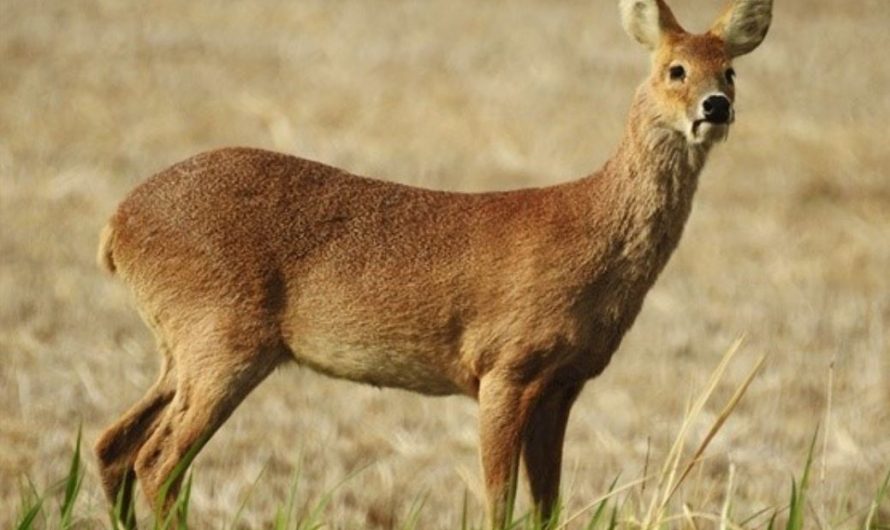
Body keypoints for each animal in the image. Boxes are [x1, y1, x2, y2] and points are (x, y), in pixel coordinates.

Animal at [93, 0, 772, 527]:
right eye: (674, 69)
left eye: (731, 71)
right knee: (158, 459)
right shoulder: (504, 366)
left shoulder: (565, 383)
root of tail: (118, 225)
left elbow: (547, 505)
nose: (715, 106)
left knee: (113, 444)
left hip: (182, 345)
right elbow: (500, 503)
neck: (590, 230)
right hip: (222, 336)